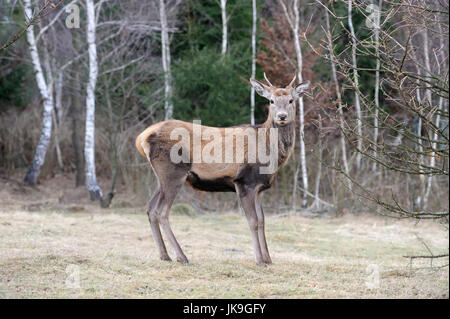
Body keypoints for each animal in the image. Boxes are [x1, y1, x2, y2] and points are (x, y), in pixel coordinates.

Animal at [134, 74, 310, 266]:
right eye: (271, 101)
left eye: (291, 100)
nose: (282, 116)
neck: (271, 156)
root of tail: (141, 138)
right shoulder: (244, 182)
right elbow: (253, 221)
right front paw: (259, 261)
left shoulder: (260, 188)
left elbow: (263, 220)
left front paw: (268, 259)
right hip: (173, 172)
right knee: (162, 212)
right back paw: (182, 257)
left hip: (161, 178)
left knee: (150, 208)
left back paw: (164, 255)